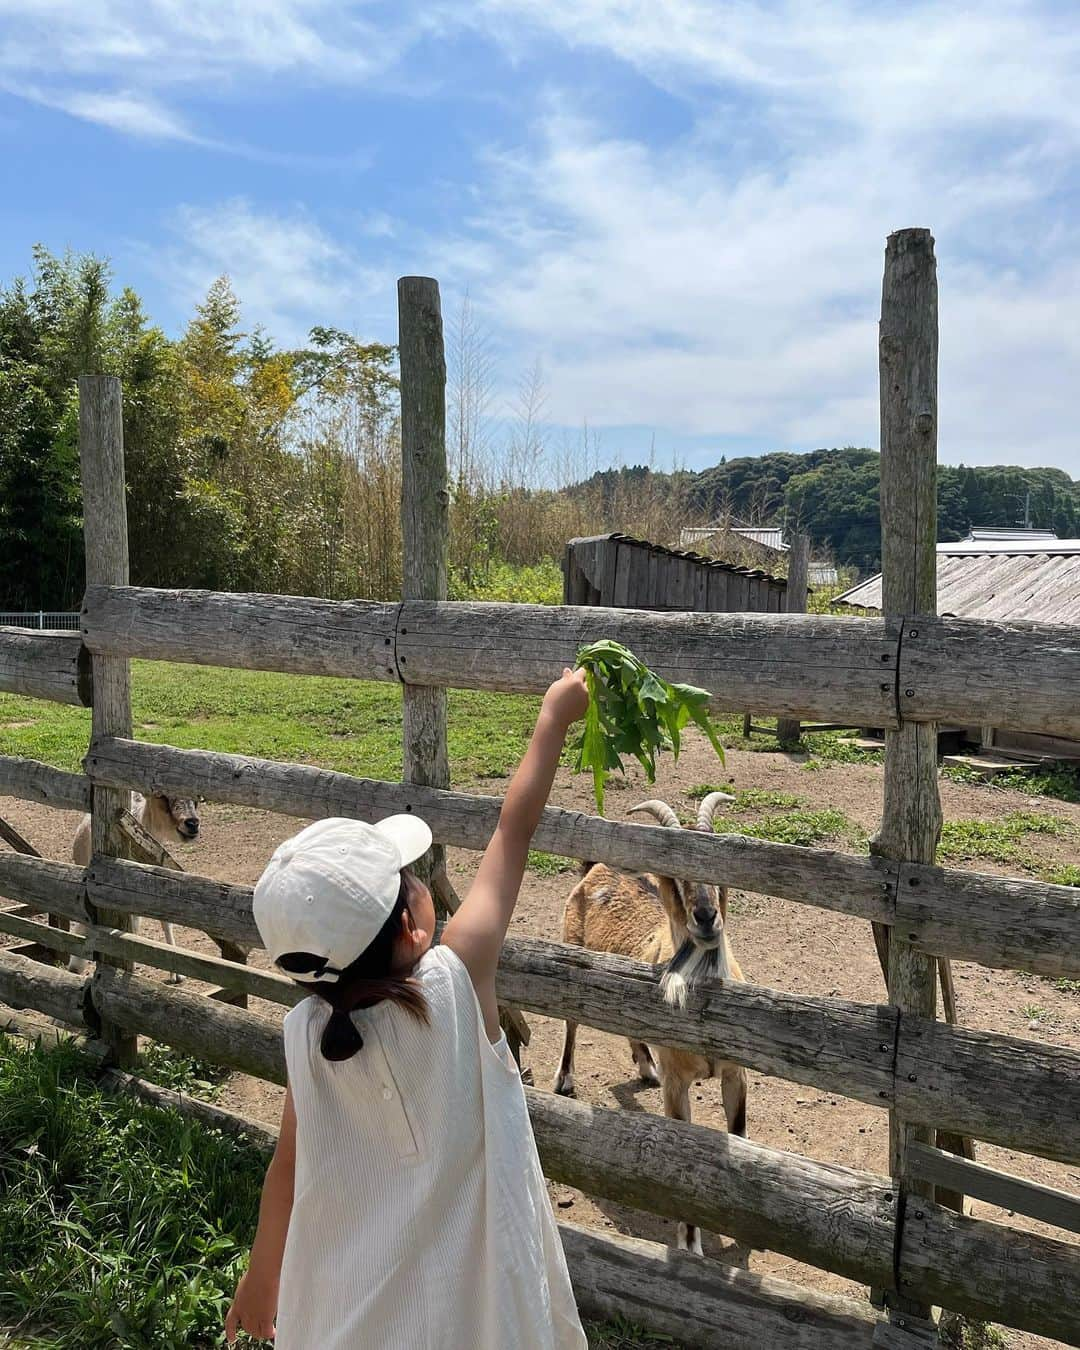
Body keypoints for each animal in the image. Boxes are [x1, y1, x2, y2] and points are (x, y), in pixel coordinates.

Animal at [553, 788, 745, 1252]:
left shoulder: (737, 1074)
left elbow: (739, 1135)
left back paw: (645, 1067)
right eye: (671, 876)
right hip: (571, 957)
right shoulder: (678, 1085)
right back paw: (565, 1080)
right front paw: (690, 1245)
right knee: (571, 1024)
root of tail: (596, 868)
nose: (706, 917)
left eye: (719, 867)